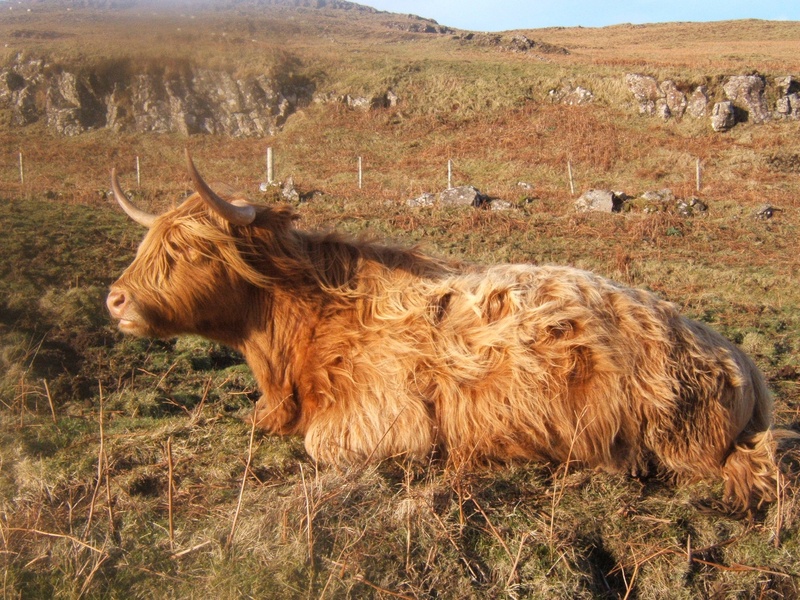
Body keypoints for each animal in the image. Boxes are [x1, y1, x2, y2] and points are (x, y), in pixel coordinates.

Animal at [107, 150, 796, 513]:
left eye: (191, 250)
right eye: (150, 241)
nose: (115, 299)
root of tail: (741, 360)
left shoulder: (384, 419)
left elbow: (323, 446)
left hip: (681, 441)